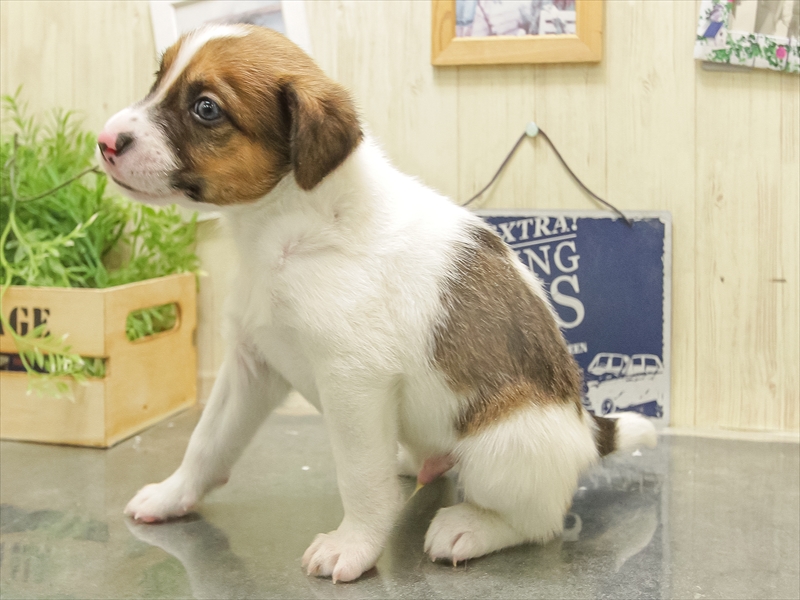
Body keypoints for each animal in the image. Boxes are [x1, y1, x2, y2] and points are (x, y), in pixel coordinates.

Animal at [97, 24, 657, 583]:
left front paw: (354, 545)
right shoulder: (251, 365)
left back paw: (470, 527)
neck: (287, 226)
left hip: (502, 448)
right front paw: (173, 495)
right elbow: (207, 441)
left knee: (538, 519)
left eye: (206, 108)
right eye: (158, 76)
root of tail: (586, 429)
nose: (103, 142)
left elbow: (361, 479)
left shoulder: (353, 381)